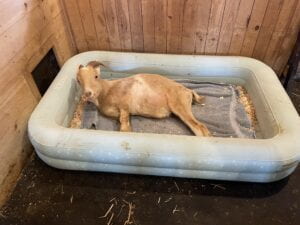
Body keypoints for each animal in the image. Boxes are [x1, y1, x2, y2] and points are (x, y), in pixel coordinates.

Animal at [72, 60, 211, 136]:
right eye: (79, 81)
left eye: (96, 76)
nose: (88, 93)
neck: (106, 90)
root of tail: (188, 91)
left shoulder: (124, 107)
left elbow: (124, 127)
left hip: (180, 107)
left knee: (200, 128)